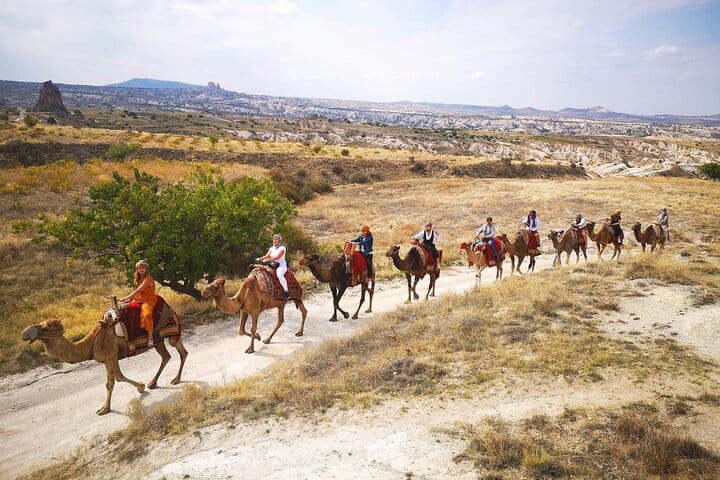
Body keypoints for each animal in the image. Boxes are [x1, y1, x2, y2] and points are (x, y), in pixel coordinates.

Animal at [21, 316, 187, 415]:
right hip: (159, 340)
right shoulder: (110, 359)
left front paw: (104, 409)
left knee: (180, 352)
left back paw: (175, 380)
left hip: (169, 334)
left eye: (45, 327)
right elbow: (119, 377)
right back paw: (153, 383)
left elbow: (111, 383)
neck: (91, 343)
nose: (24, 334)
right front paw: (141, 387)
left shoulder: (110, 357)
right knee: (168, 356)